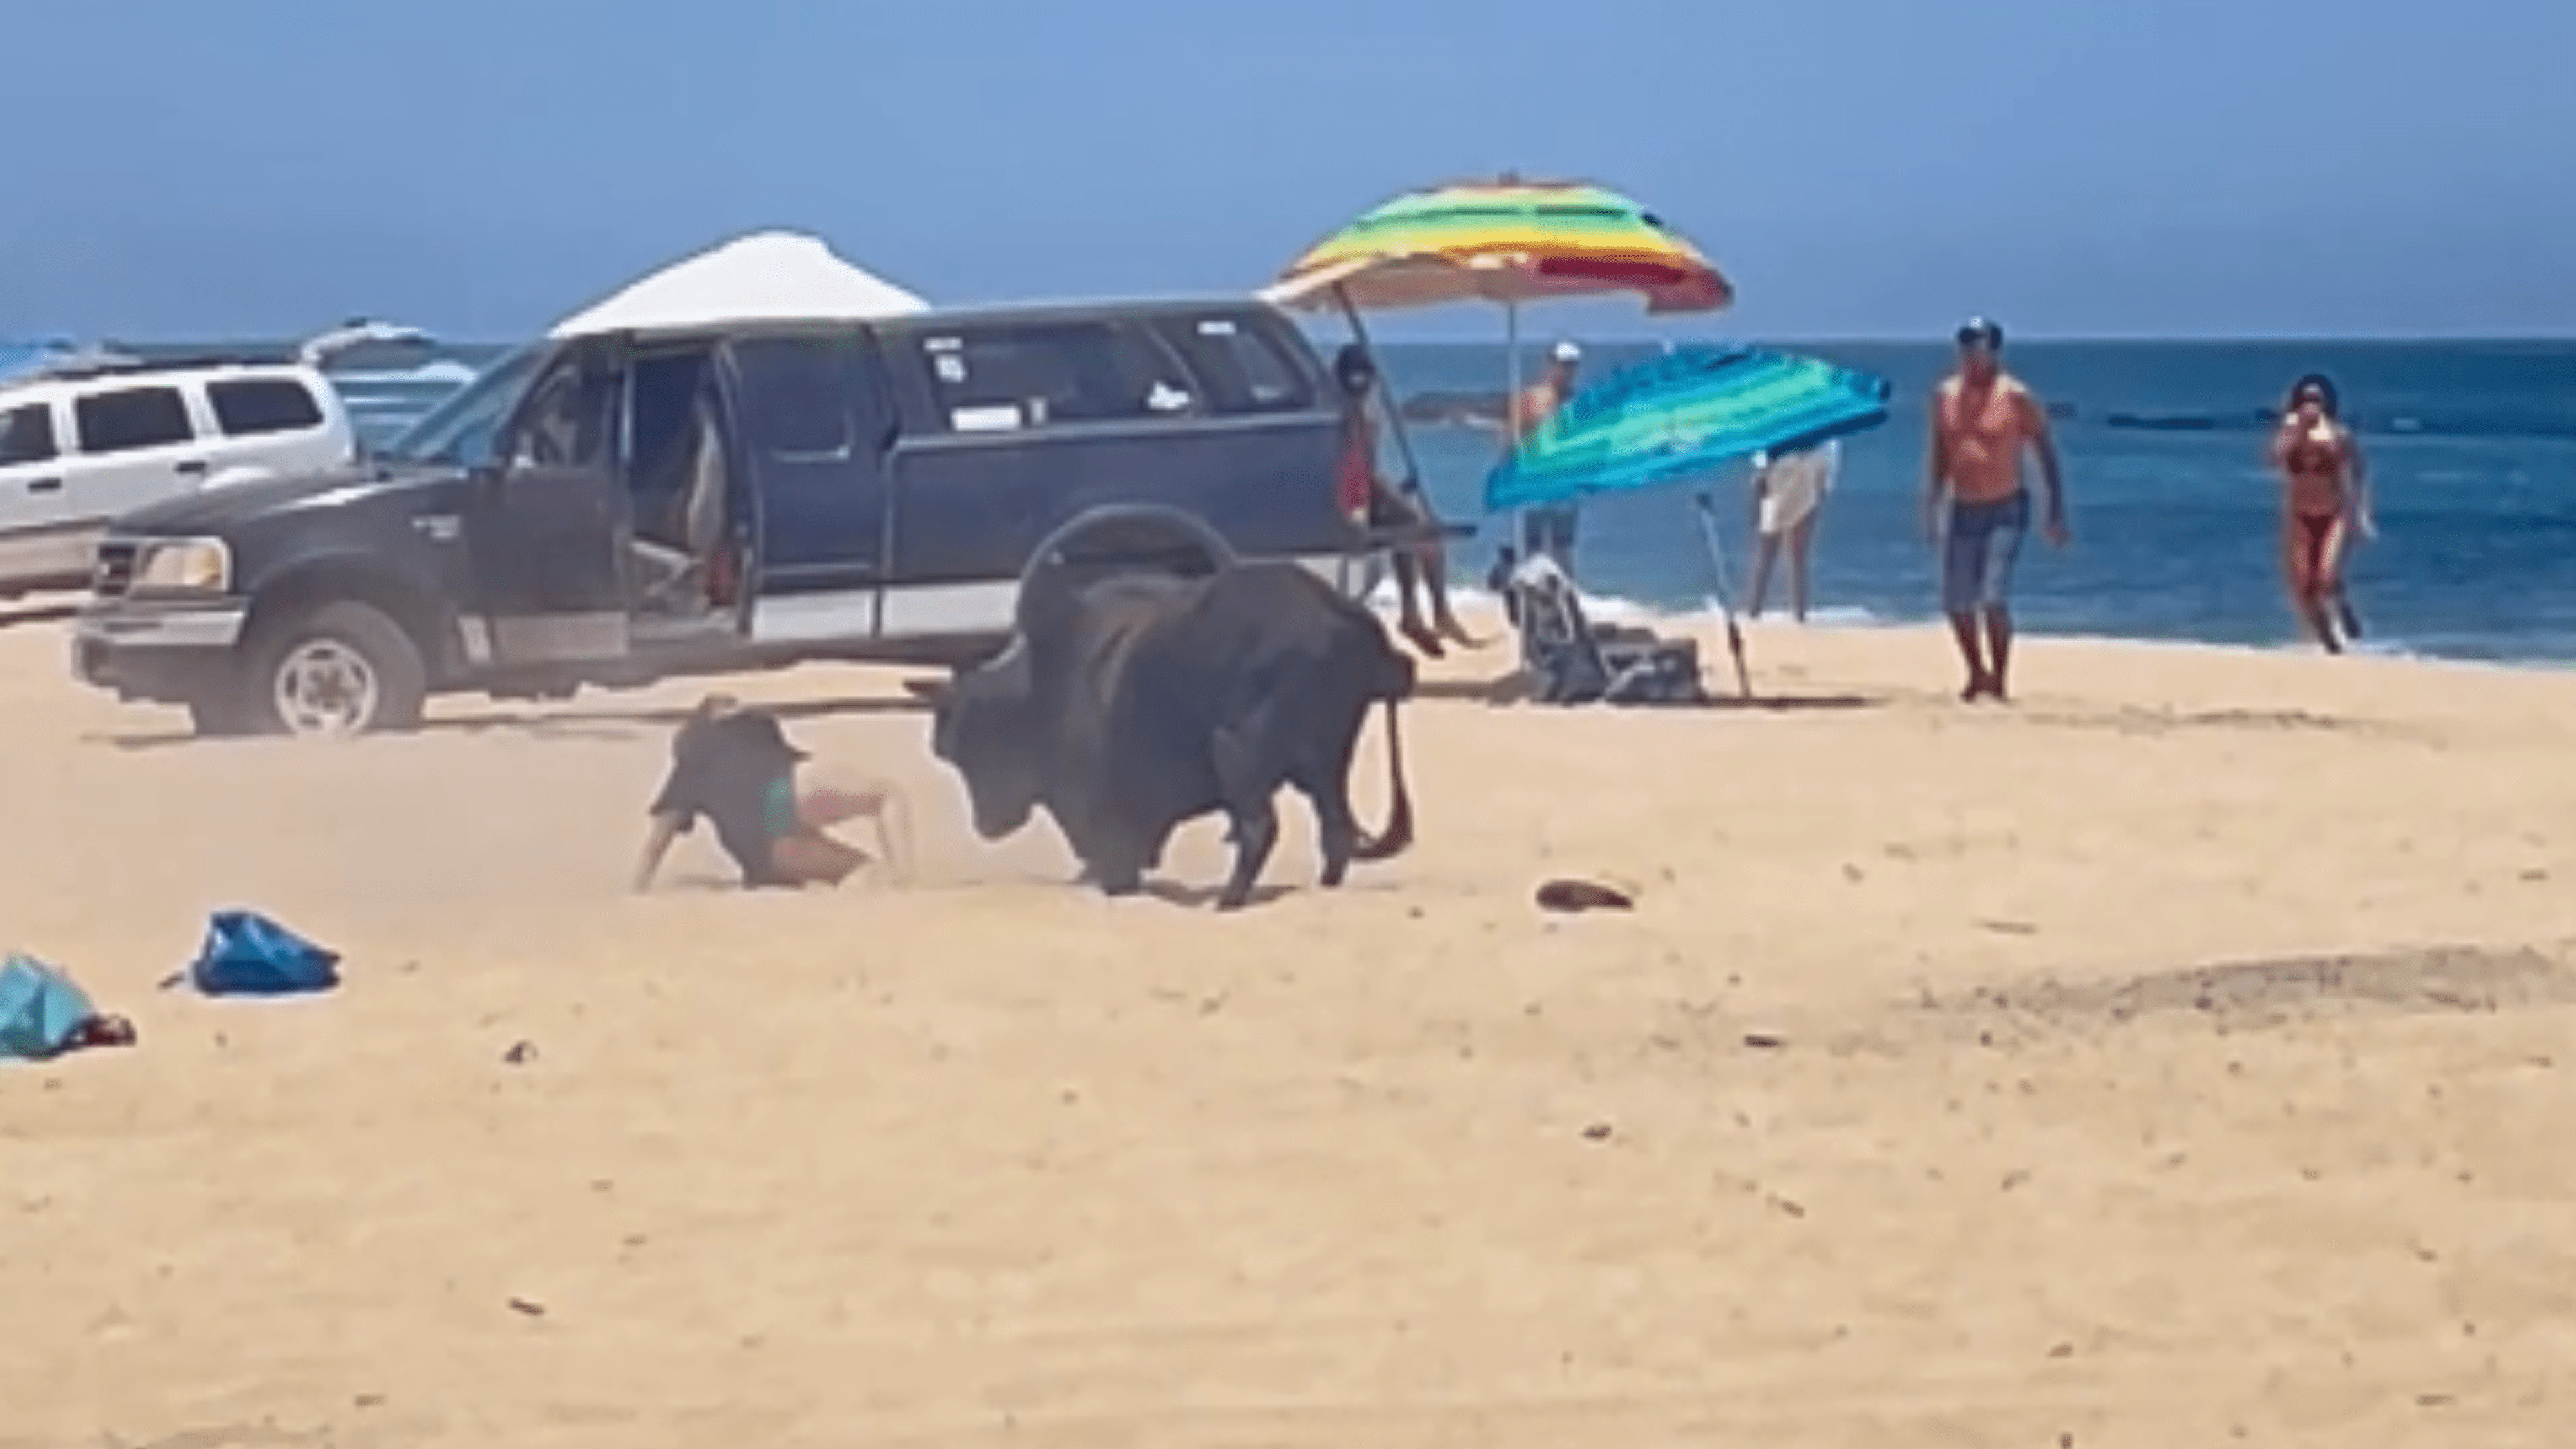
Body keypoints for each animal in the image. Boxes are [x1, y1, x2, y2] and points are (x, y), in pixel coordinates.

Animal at [927, 554, 1422, 902]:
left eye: (966, 748)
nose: (987, 825)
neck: (1048, 683)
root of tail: (1339, 615)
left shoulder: (1112, 826)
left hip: (1238, 751)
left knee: (1260, 827)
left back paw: (1230, 899)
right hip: (1326, 764)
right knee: (1336, 830)